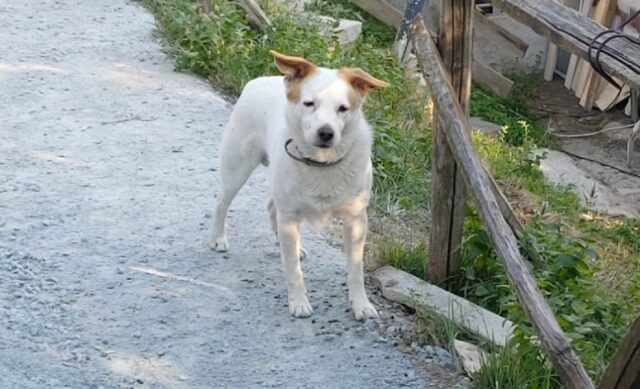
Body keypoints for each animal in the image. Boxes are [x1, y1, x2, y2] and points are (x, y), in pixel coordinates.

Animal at [211, 51, 390, 318]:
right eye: (309, 104)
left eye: (343, 109)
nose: (326, 133)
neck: (321, 163)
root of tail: (261, 79)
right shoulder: (289, 216)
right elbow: (293, 270)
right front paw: (298, 302)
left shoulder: (357, 219)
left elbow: (356, 270)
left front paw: (361, 304)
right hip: (237, 167)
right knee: (222, 202)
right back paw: (218, 238)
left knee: (271, 208)